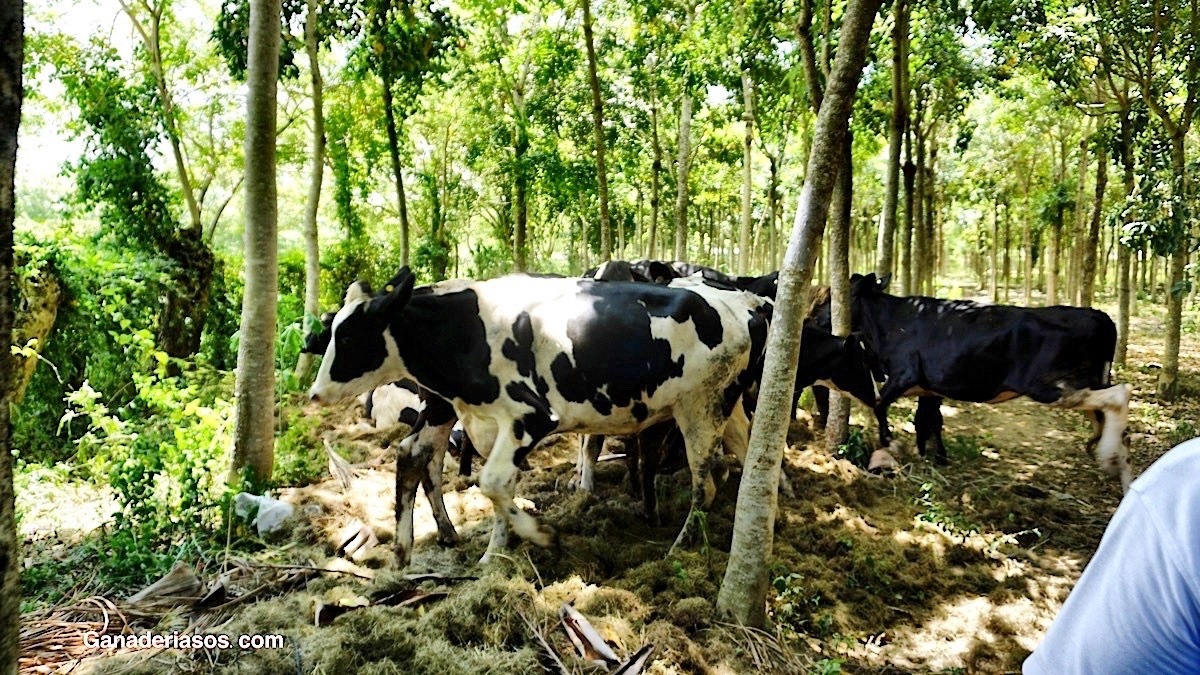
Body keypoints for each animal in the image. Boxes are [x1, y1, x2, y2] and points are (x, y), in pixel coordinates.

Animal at [309, 265, 768, 559]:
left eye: (348, 337)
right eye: (332, 331)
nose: (314, 393)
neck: (466, 328)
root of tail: (745, 308)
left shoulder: (530, 417)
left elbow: (492, 482)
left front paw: (540, 536)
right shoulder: (470, 416)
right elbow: (468, 476)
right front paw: (487, 554)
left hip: (701, 409)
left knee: (707, 486)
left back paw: (678, 549)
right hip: (723, 408)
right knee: (747, 458)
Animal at [840, 271, 1128, 487]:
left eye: (840, 293)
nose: (825, 316)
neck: (887, 324)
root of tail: (1098, 315)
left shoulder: (904, 373)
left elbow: (880, 404)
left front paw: (892, 442)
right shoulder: (930, 387)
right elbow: (928, 420)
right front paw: (933, 456)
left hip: (1051, 386)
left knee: (1119, 396)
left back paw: (1106, 454)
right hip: (1089, 380)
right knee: (1112, 422)